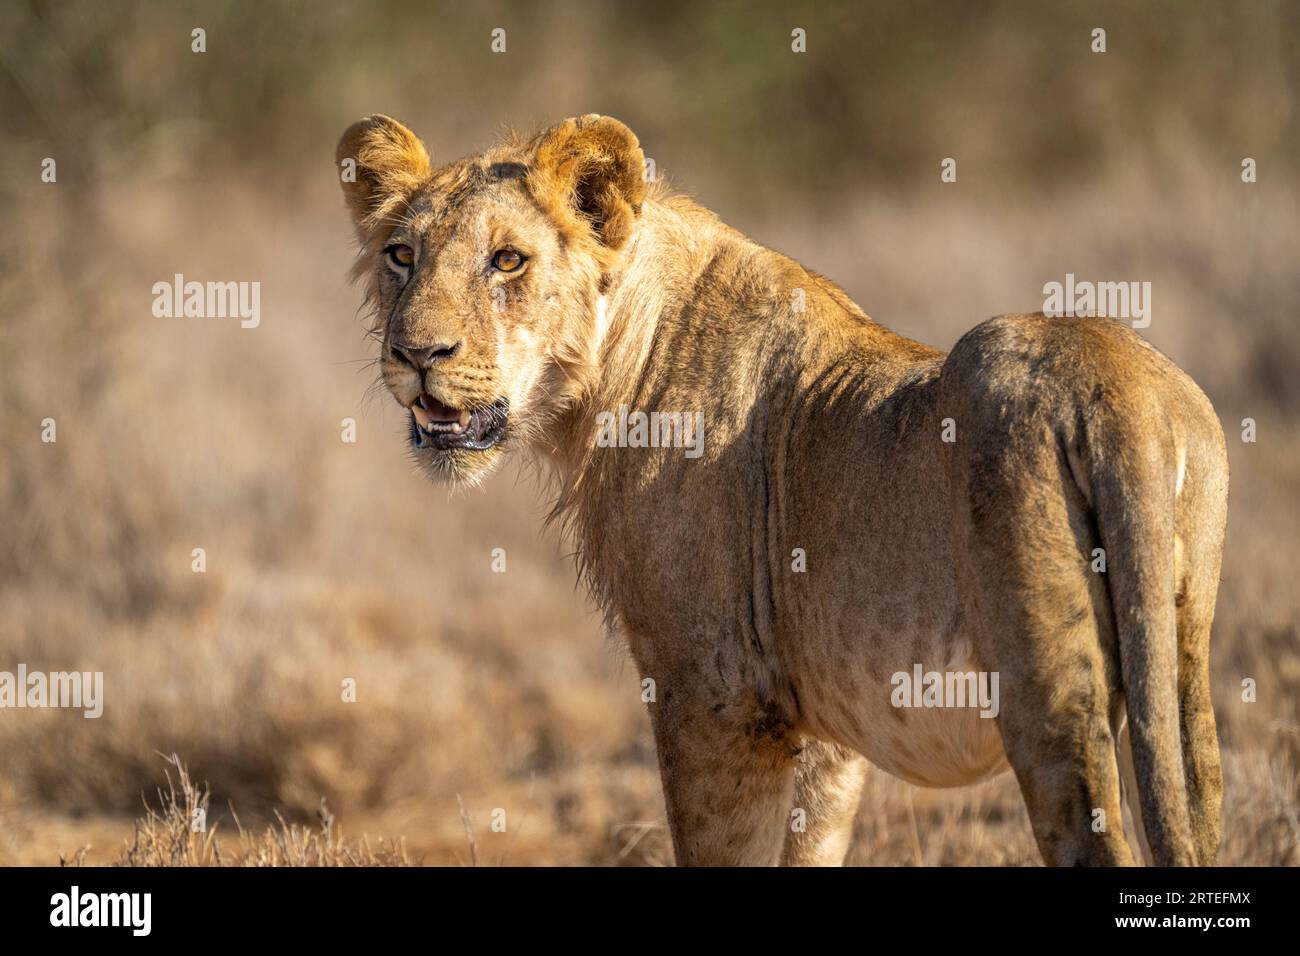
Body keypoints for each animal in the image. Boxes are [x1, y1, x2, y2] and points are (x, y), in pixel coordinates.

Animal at [336, 113, 1228, 866]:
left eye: (508, 260)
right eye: (401, 255)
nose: (416, 354)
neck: (613, 370)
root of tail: (1115, 386)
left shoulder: (715, 694)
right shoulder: (825, 722)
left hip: (1051, 684)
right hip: (1180, 668)